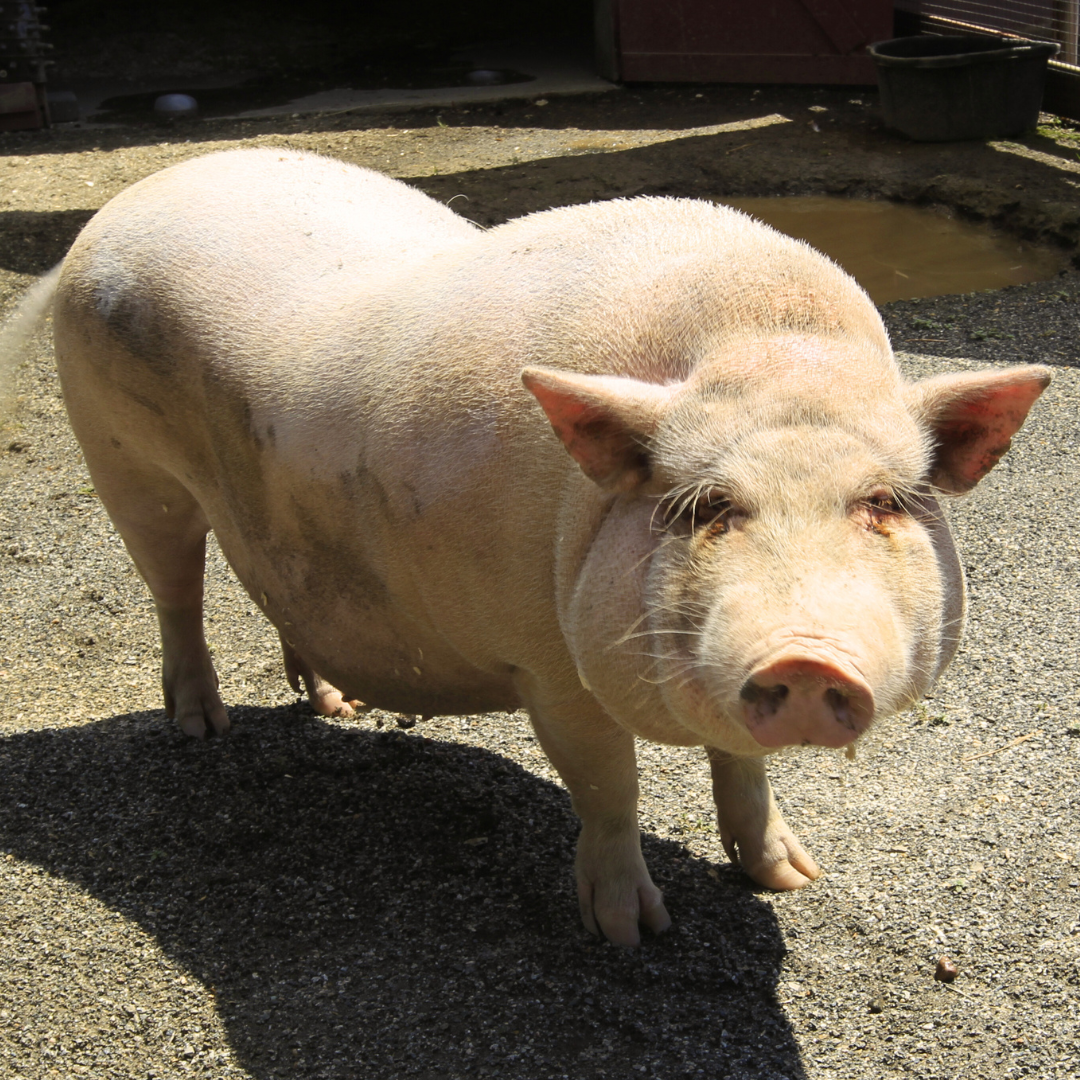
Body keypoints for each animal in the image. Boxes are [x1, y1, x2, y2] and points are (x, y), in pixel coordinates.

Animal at [29, 145, 1045, 946]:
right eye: (707, 506)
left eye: (881, 502)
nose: (806, 656)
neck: (764, 345)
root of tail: (125, 202)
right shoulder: (546, 666)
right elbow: (610, 786)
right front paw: (632, 935)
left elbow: (742, 769)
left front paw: (793, 879)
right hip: (121, 462)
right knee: (177, 591)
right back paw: (201, 727)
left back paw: (340, 705)